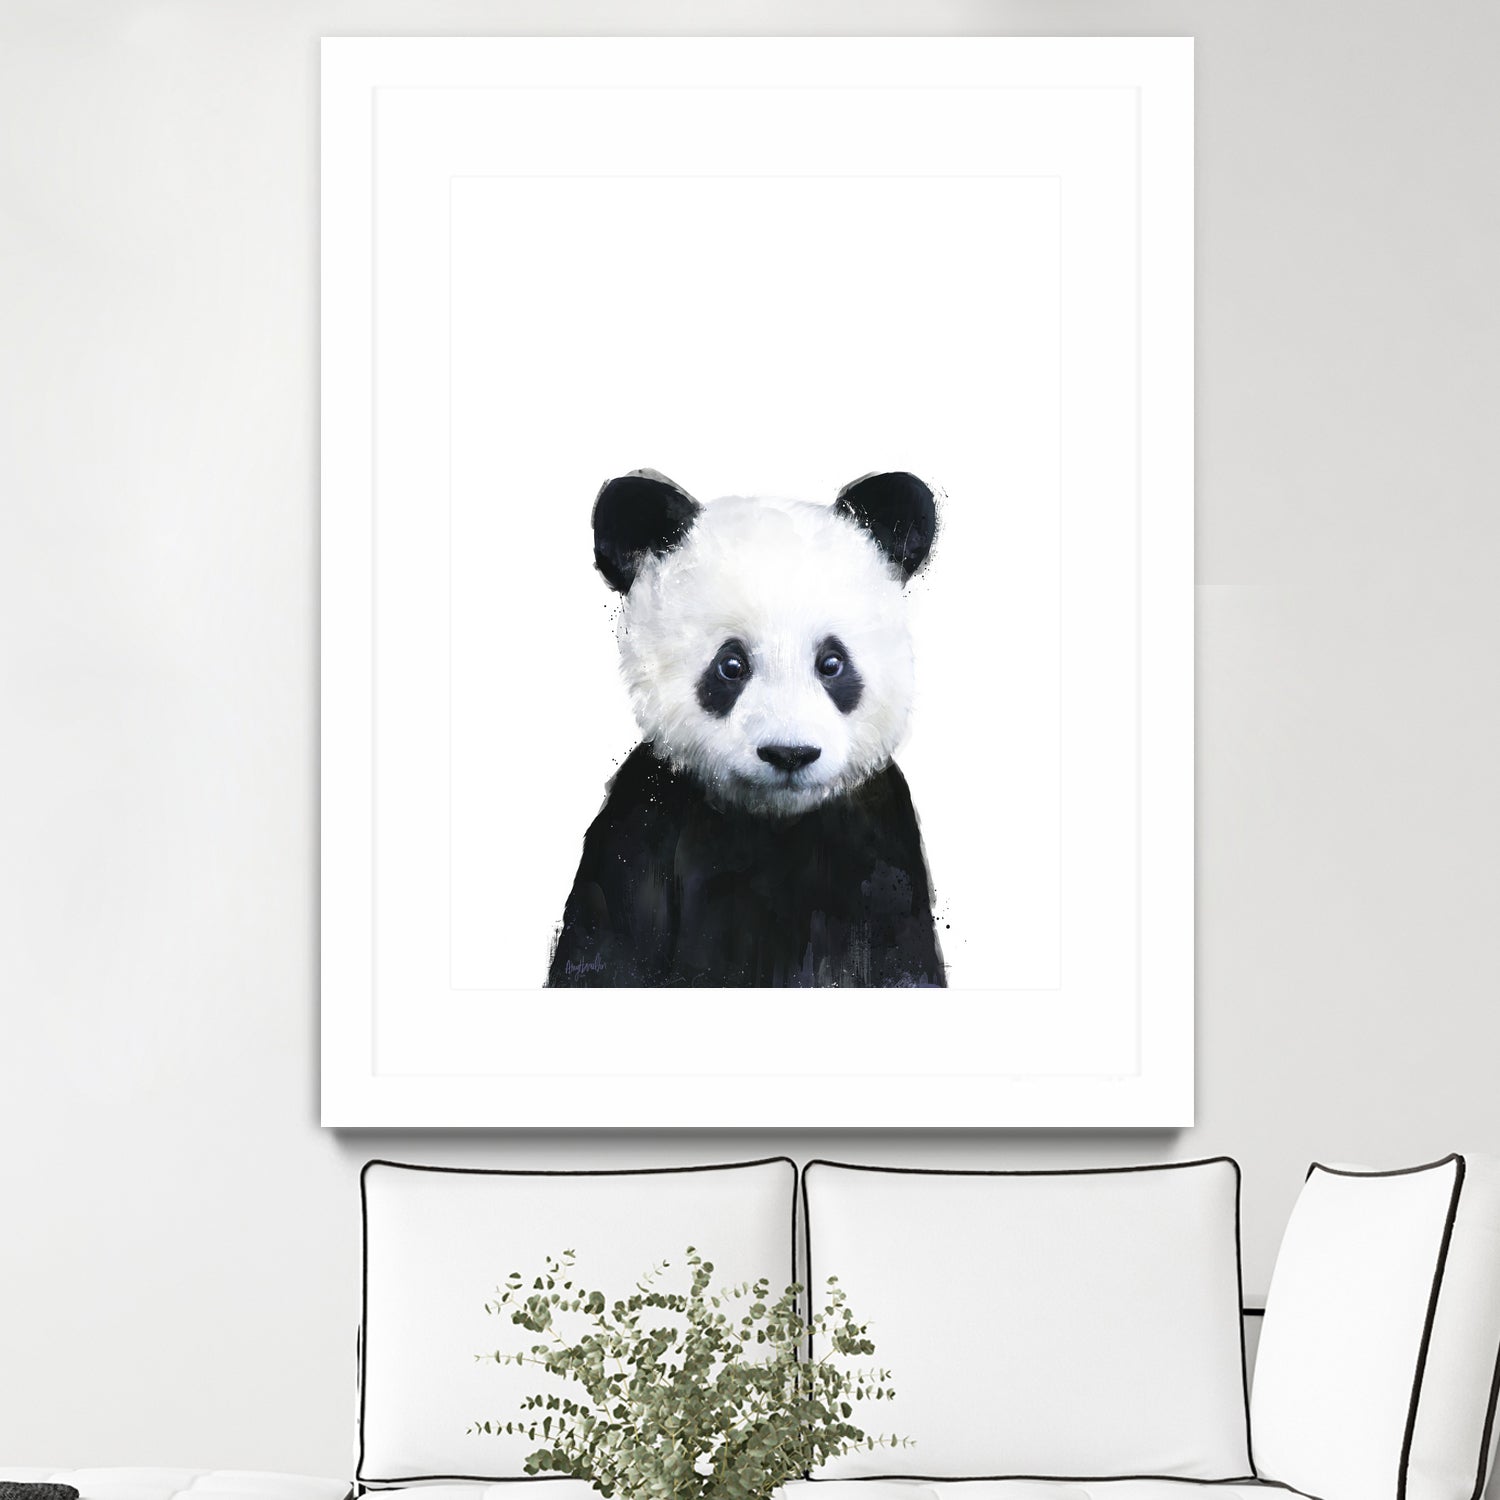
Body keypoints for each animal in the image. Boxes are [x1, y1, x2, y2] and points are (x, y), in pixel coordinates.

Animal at [546, 469, 946, 989]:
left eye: (832, 663)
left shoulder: (879, 841)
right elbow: (607, 948)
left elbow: (901, 958)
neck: (772, 820)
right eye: (731, 665)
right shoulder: (643, 825)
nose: (789, 754)